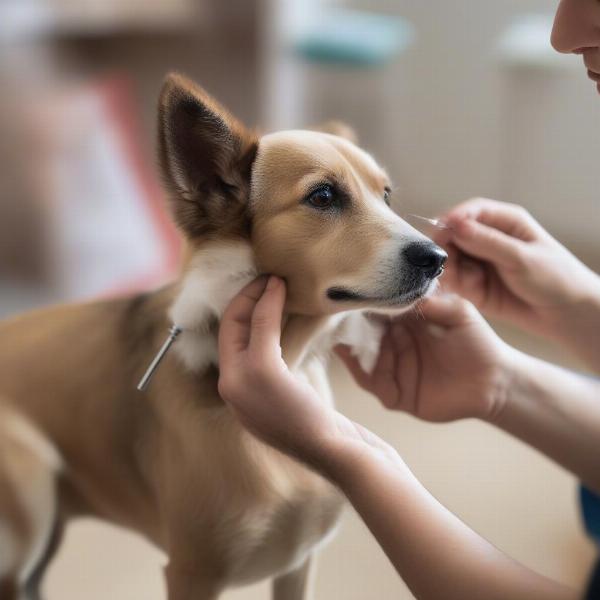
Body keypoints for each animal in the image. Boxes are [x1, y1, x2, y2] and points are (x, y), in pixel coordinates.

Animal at [0, 75, 446, 600]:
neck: (292, 361)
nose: (437, 259)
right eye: (322, 197)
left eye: (387, 196)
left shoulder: (299, 562)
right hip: (30, 497)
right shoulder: (193, 573)